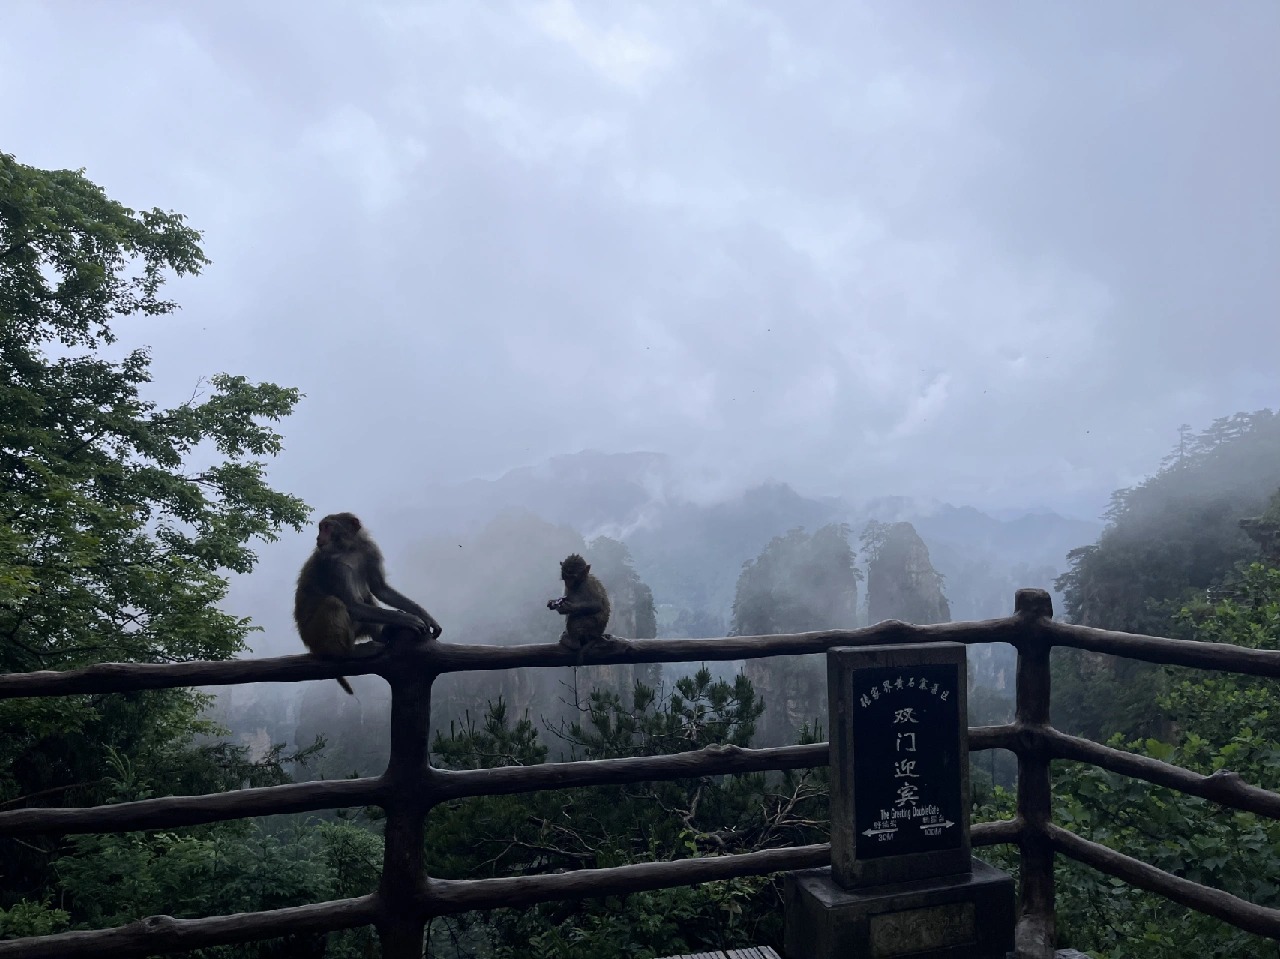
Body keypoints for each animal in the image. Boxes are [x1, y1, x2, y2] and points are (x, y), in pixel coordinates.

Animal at [293, 512, 442, 691]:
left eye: (327, 527)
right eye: (321, 528)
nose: (318, 537)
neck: (349, 549)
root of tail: (310, 645)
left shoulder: (370, 551)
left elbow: (380, 589)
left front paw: (424, 615)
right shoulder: (332, 564)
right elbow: (353, 606)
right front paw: (408, 618)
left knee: (366, 596)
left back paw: (382, 635)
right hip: (315, 635)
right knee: (333, 603)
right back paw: (346, 653)